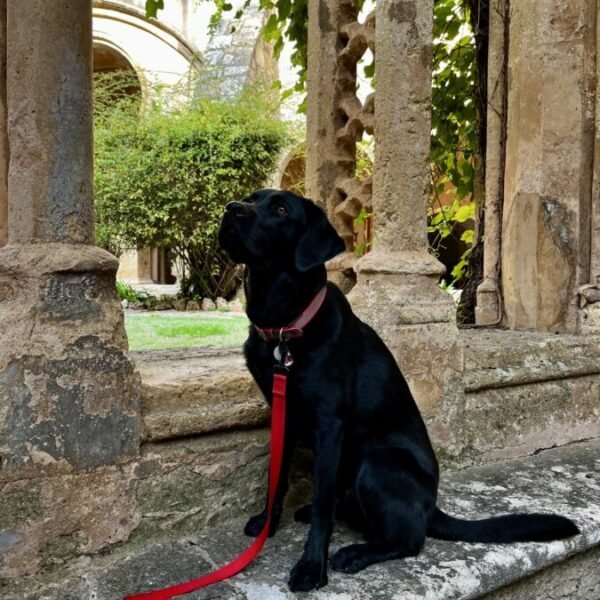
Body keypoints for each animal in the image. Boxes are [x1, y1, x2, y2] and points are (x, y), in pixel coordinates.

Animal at [218, 190, 580, 592]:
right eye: (251, 199)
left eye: (281, 209)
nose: (230, 209)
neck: (284, 326)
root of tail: (432, 506)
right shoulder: (282, 414)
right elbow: (276, 478)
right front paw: (267, 523)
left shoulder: (329, 425)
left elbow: (322, 505)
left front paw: (312, 566)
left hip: (377, 462)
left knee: (410, 540)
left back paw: (355, 554)